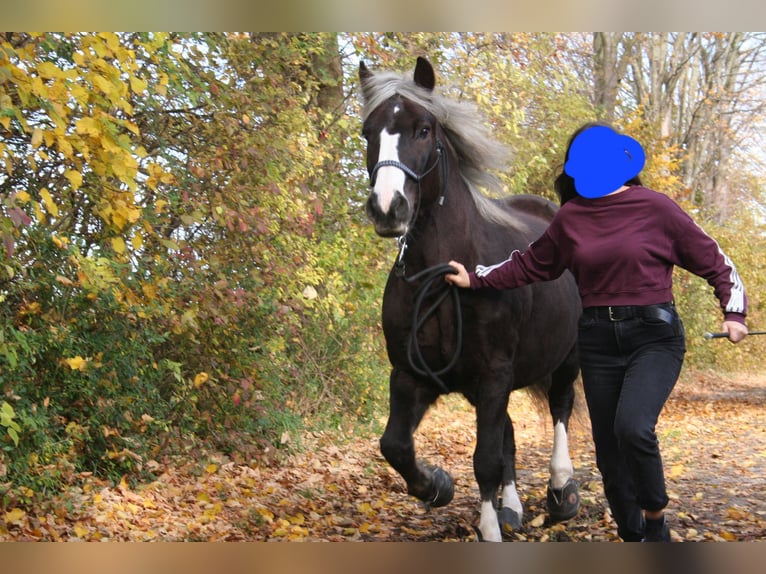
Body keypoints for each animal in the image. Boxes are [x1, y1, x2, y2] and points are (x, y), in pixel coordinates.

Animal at [358, 57, 583, 542]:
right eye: (367, 132)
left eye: (423, 129)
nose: (388, 208)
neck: (445, 275)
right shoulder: (412, 374)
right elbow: (395, 445)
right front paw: (437, 485)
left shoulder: (494, 374)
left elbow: (485, 460)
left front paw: (488, 529)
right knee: (510, 434)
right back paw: (512, 508)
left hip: (567, 357)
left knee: (559, 408)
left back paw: (562, 491)